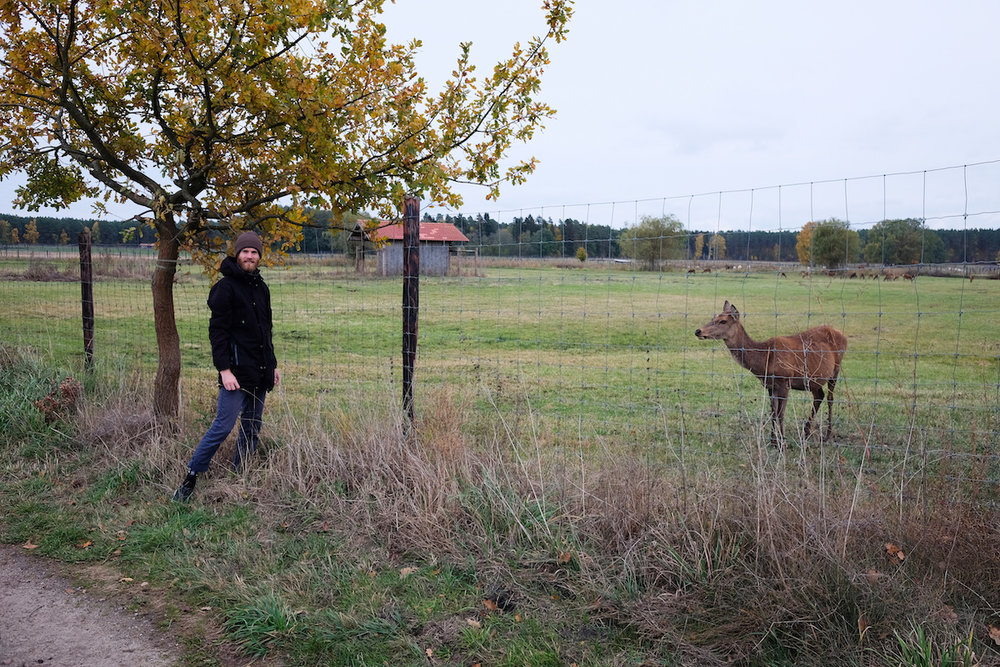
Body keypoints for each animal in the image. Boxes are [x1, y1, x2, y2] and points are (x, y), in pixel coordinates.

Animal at [700, 300, 848, 446]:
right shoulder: (770, 385)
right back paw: (806, 432)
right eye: (713, 318)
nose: (698, 331)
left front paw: (782, 442)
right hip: (813, 380)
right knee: (819, 396)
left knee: (830, 398)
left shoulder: (785, 380)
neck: (765, 359)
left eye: (723, 321)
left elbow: (781, 414)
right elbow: (773, 412)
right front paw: (772, 440)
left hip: (835, 369)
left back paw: (827, 435)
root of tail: (843, 335)